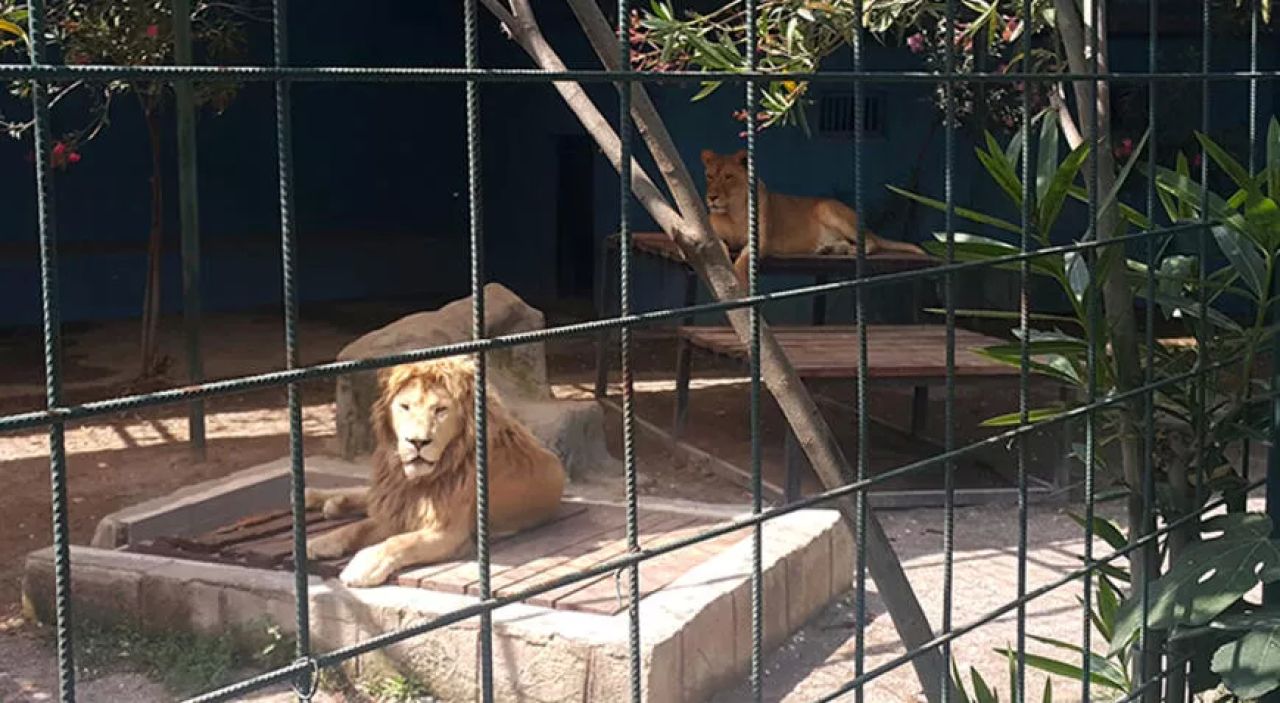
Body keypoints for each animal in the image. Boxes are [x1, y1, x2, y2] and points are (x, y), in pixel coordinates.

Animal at [304, 355, 565, 586]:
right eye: (405, 407)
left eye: (440, 410)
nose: (417, 442)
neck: (416, 481)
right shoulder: (400, 508)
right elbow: (356, 528)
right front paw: (320, 543)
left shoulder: (448, 533)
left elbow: (399, 542)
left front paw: (363, 565)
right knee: (365, 494)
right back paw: (320, 498)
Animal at [706, 146, 926, 284]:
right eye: (709, 176)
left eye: (728, 177)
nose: (711, 197)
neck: (733, 212)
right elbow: (720, 247)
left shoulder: (761, 240)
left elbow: (743, 259)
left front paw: (737, 276)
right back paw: (828, 249)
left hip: (827, 209)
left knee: (871, 242)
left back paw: (850, 250)